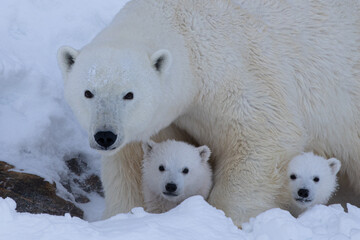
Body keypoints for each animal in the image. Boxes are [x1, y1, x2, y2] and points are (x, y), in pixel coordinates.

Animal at [57, 0, 360, 226]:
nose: (105, 135)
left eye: (128, 94)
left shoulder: (237, 72)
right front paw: (121, 217)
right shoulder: (160, 119)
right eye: (88, 92)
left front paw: (226, 218)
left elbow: (264, 135)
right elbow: (132, 162)